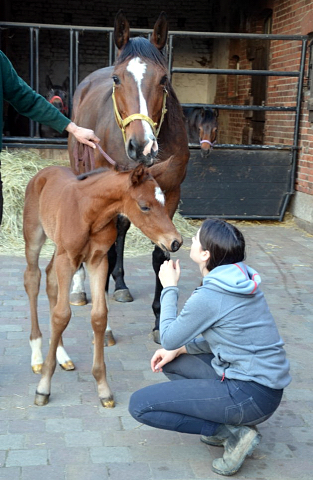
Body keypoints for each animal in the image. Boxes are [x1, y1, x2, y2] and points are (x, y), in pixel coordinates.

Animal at [23, 163, 182, 406]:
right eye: (144, 206)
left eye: (164, 202)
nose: (175, 242)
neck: (89, 213)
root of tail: (43, 172)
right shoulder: (68, 258)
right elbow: (61, 315)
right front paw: (43, 387)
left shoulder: (97, 260)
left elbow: (98, 316)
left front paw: (103, 388)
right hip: (34, 236)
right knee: (33, 278)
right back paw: (37, 357)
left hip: (58, 250)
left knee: (50, 279)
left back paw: (62, 356)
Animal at [68, 9, 189, 344]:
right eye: (117, 79)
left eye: (164, 79)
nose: (142, 146)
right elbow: (105, 251)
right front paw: (105, 325)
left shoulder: (169, 194)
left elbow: (161, 253)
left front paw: (159, 323)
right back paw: (80, 290)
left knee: (121, 230)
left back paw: (119, 285)